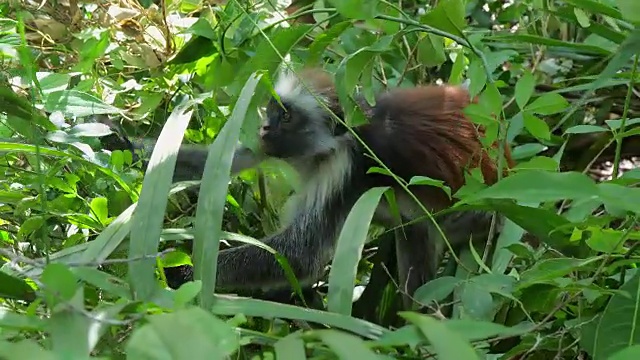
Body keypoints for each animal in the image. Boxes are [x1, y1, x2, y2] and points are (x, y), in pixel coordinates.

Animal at [131, 68, 516, 310]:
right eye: (272, 111)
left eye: (287, 116)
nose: (265, 126)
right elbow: (227, 159)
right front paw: (123, 141)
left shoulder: (346, 167)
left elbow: (301, 255)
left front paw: (179, 270)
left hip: (478, 215)